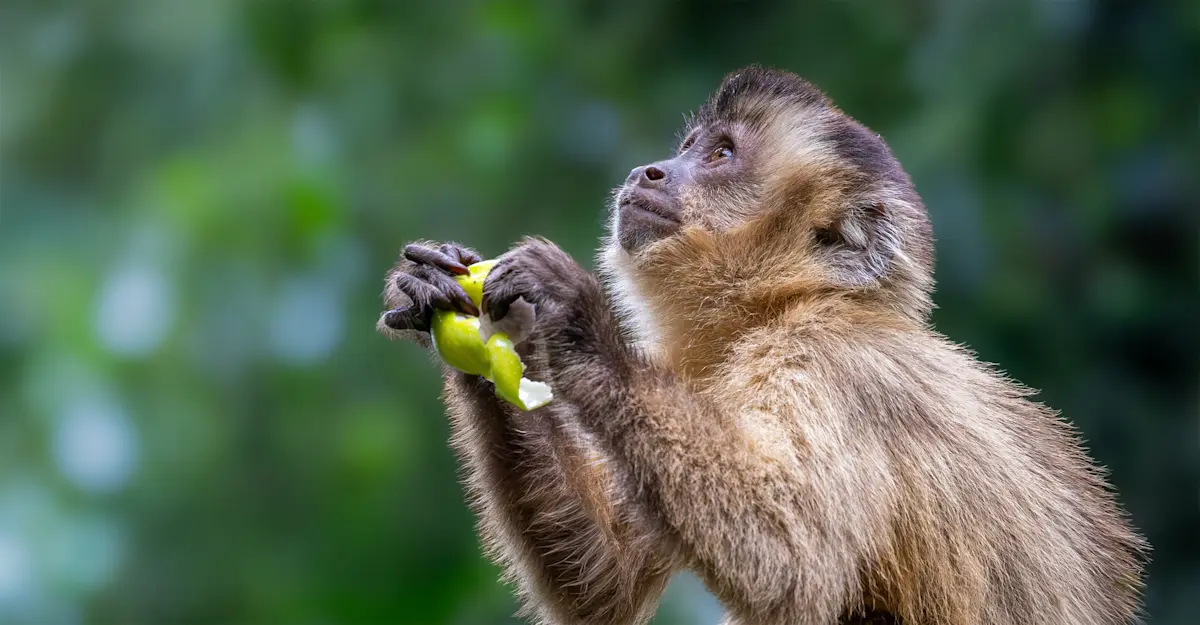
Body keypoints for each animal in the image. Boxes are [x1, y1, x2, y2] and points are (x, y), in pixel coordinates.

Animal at [379, 66, 1147, 625]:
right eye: (688, 149)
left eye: (720, 156)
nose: (650, 170)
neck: (788, 308)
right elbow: (605, 582)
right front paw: (444, 296)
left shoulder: (831, 363)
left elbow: (787, 557)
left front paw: (575, 323)